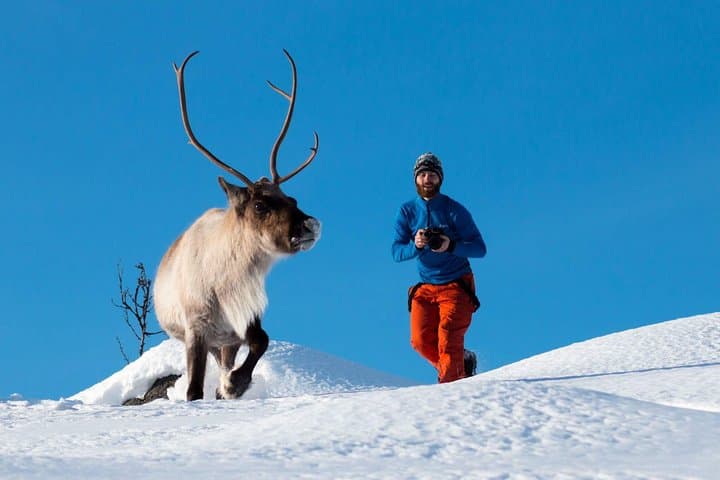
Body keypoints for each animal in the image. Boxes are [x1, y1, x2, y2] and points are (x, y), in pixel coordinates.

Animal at [153, 50, 321, 401]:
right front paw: (231, 383)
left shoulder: (243, 321)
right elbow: (193, 390)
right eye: (259, 205)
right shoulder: (197, 328)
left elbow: (262, 340)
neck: (227, 278)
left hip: (226, 343)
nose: (311, 225)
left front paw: (234, 384)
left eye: (293, 198)